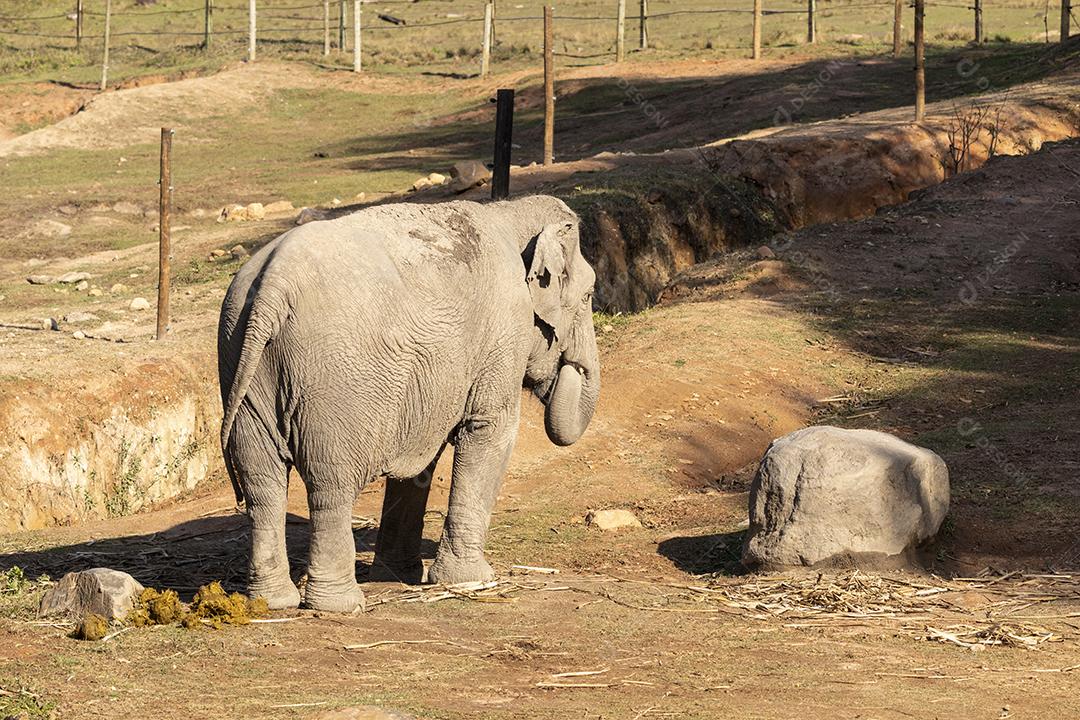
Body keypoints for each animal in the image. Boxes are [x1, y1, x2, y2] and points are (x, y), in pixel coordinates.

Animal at [217, 195, 600, 612]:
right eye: (588, 296)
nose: (571, 365)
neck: (509, 213)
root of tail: (272, 287)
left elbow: (422, 459)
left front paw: (397, 575)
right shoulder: (504, 329)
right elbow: (489, 430)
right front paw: (474, 580)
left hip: (240, 363)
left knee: (262, 482)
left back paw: (273, 602)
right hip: (334, 387)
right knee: (330, 484)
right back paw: (340, 605)